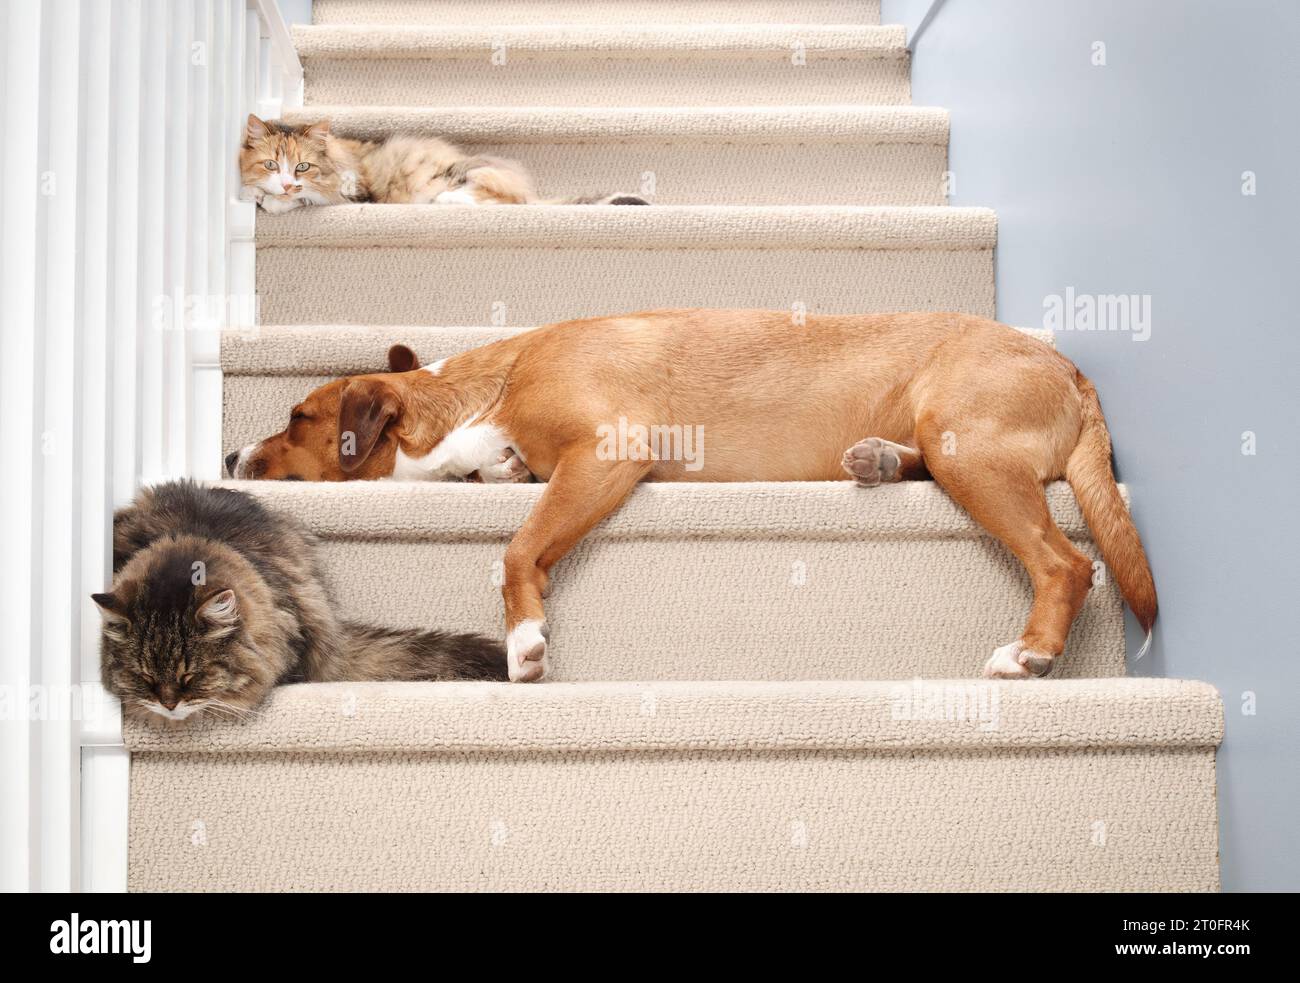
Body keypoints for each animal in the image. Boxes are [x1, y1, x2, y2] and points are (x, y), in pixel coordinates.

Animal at [228, 310, 1154, 681]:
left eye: (298, 416)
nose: (233, 450)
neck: (484, 388)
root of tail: (1071, 367)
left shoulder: (609, 451)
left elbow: (518, 547)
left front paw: (525, 640)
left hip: (971, 448)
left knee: (1068, 564)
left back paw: (1030, 654)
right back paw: (876, 460)